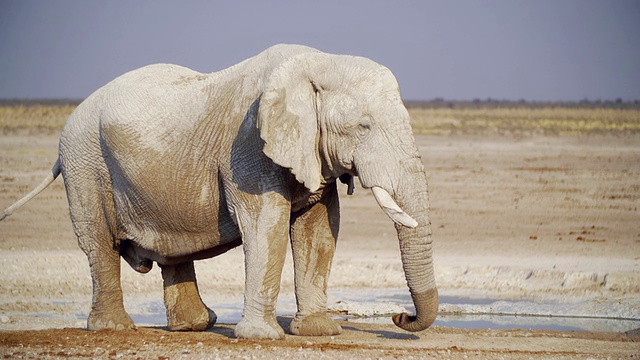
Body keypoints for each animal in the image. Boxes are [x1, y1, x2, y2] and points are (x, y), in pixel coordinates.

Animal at [0, 43, 438, 338]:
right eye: (364, 126)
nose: (400, 316)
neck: (317, 61)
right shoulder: (247, 146)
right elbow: (267, 225)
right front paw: (263, 338)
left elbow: (319, 231)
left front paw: (318, 332)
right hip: (85, 162)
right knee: (99, 243)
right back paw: (115, 329)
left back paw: (196, 325)